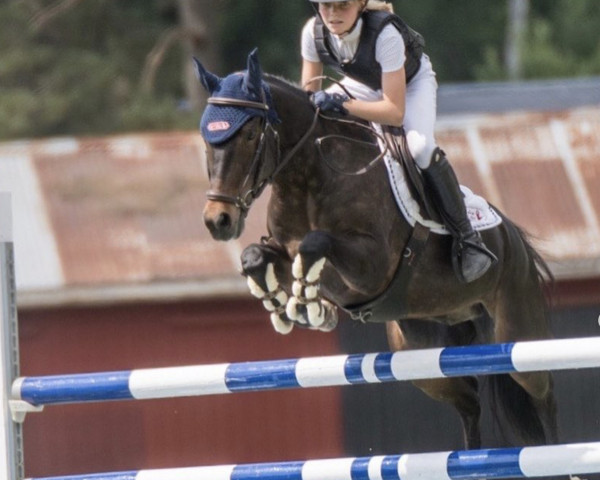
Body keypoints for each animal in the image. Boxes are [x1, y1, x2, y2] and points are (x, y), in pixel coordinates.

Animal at [197, 50, 556, 452]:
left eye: (248, 134)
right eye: (207, 138)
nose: (218, 220)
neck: (307, 176)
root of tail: (515, 239)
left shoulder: (372, 265)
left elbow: (316, 243)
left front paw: (309, 304)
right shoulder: (283, 249)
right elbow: (256, 257)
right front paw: (286, 304)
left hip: (518, 331)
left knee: (542, 396)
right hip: (420, 351)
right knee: (469, 401)